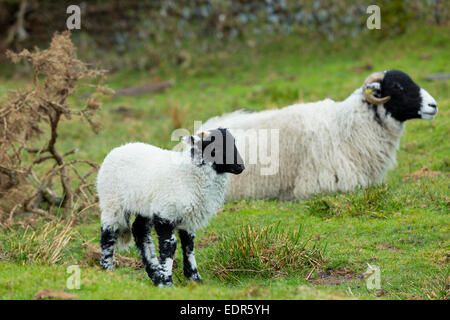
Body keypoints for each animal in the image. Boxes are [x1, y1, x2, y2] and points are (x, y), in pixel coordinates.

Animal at [97, 129, 244, 286]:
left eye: (233, 143)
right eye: (215, 147)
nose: (241, 167)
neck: (187, 176)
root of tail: (119, 148)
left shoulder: (187, 218)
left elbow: (189, 245)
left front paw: (194, 278)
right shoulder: (165, 213)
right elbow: (169, 245)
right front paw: (167, 282)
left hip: (145, 206)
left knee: (140, 231)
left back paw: (154, 274)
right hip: (111, 202)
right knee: (108, 234)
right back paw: (108, 270)